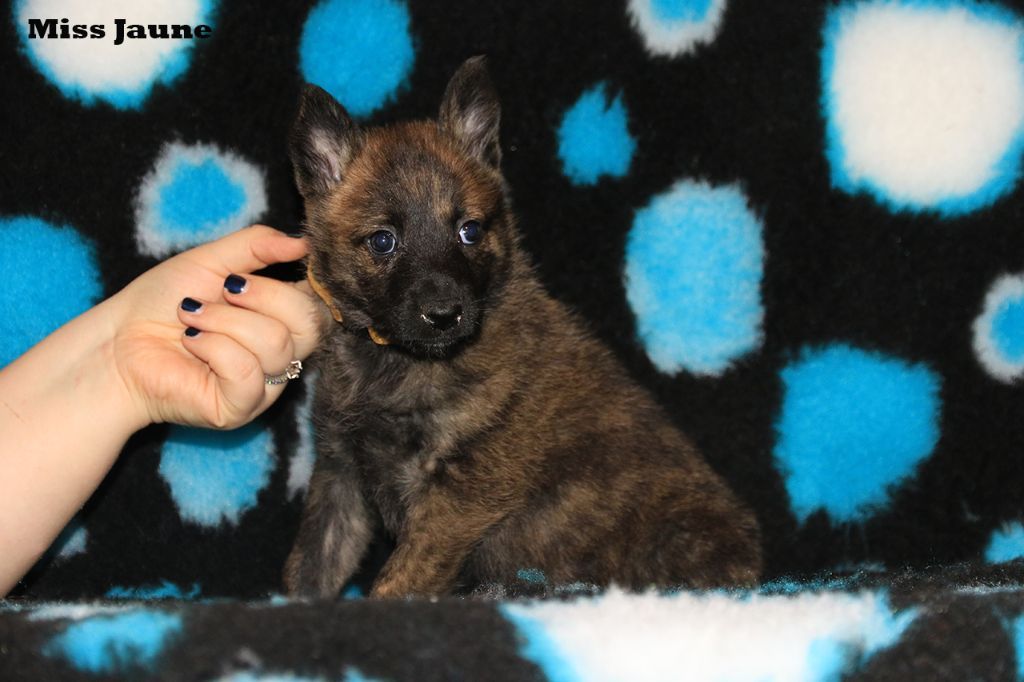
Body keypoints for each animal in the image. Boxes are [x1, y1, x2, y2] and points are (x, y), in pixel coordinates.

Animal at [283, 57, 762, 598]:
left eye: (469, 231)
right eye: (383, 241)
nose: (445, 315)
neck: (396, 362)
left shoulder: (462, 496)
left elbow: (400, 579)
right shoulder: (341, 472)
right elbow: (312, 563)